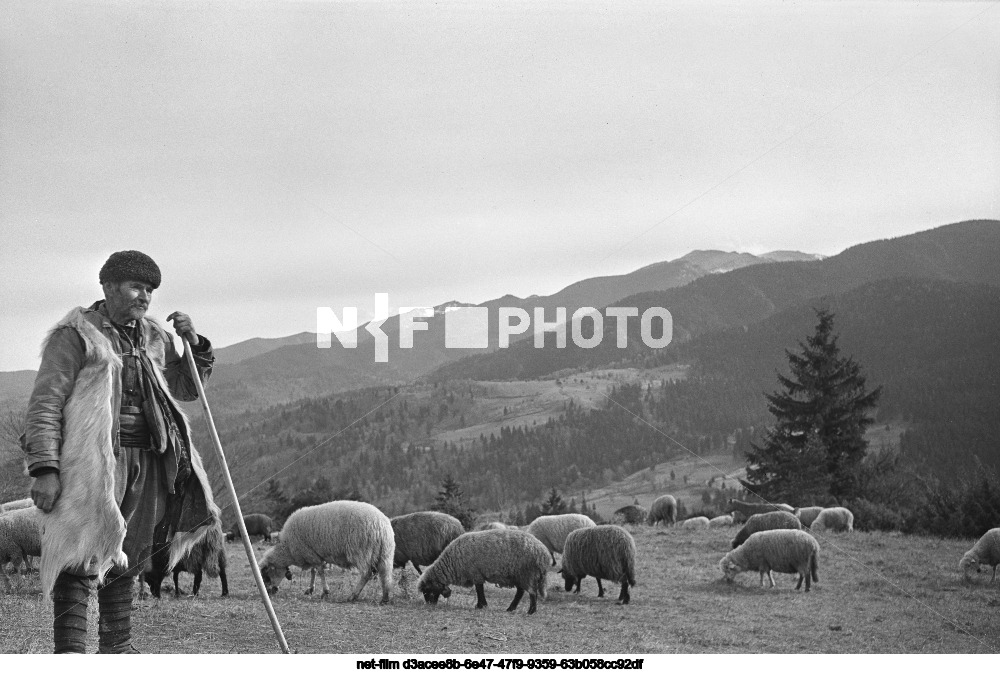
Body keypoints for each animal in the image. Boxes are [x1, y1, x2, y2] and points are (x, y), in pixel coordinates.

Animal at [258, 498, 394, 604]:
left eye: (267, 576)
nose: (270, 592)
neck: (288, 549)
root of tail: (381, 525)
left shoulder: (310, 553)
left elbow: (320, 571)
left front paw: (325, 592)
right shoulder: (313, 553)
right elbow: (313, 571)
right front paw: (310, 589)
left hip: (361, 551)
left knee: (366, 573)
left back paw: (353, 596)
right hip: (385, 553)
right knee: (385, 574)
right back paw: (385, 598)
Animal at [418, 528, 552, 616]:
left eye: (427, 590)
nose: (429, 605)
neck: (453, 563)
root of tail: (543, 553)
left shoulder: (476, 573)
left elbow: (479, 590)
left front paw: (480, 605)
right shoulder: (477, 574)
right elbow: (480, 589)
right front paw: (481, 605)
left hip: (527, 573)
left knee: (532, 593)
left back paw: (531, 611)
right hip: (519, 575)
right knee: (520, 592)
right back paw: (511, 608)